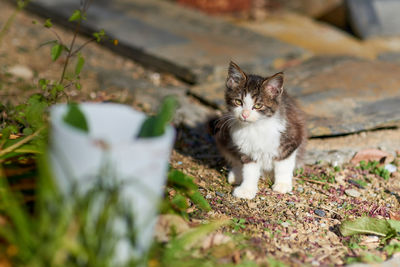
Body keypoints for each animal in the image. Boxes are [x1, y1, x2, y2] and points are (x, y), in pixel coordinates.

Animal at [212, 60, 306, 199]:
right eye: (238, 102)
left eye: (258, 105)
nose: (245, 115)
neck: (256, 127)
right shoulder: (246, 149)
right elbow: (249, 170)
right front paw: (246, 189)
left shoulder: (292, 137)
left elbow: (284, 164)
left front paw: (282, 184)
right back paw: (236, 174)